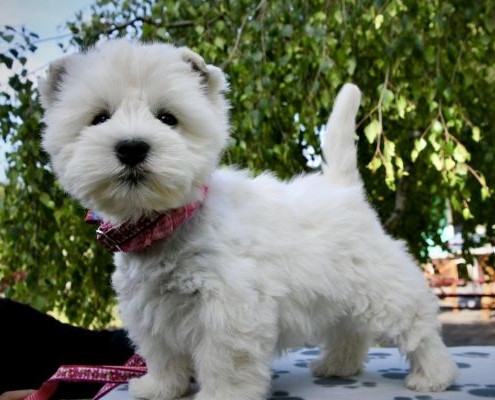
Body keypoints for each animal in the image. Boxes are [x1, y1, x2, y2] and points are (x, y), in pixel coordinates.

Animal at [39, 38, 462, 400]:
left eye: (167, 117)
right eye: (99, 118)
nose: (131, 147)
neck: (165, 224)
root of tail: (343, 189)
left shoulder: (229, 306)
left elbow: (225, 360)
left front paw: (221, 395)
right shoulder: (149, 309)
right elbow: (162, 355)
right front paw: (159, 388)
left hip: (380, 286)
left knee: (418, 326)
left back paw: (433, 376)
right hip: (337, 294)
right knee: (350, 332)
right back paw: (337, 365)